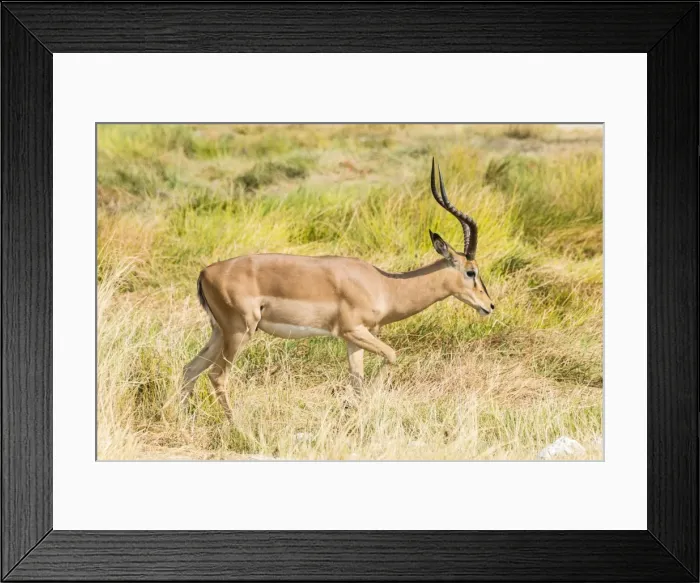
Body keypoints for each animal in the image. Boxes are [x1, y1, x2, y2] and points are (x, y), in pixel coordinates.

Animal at [182, 159, 494, 419]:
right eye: (471, 271)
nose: (489, 306)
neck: (384, 285)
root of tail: (205, 272)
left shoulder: (353, 340)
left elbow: (357, 381)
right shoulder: (354, 330)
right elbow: (391, 357)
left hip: (219, 333)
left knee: (190, 369)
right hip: (239, 332)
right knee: (217, 375)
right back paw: (236, 424)